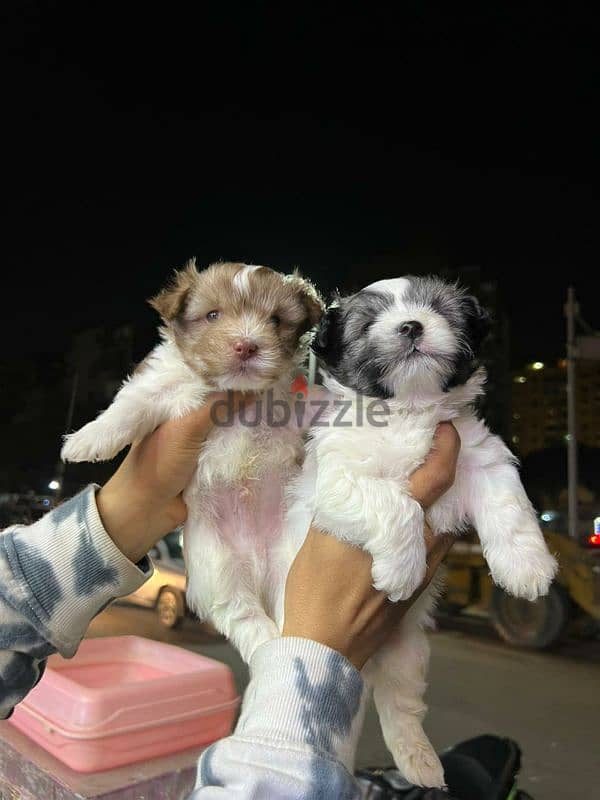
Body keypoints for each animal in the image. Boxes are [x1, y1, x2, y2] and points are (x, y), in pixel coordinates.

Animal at [63, 260, 324, 660]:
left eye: (276, 320)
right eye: (212, 315)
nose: (246, 344)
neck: (235, 391)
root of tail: (259, 566)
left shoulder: (294, 404)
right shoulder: (158, 388)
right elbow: (129, 407)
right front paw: (87, 439)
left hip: (291, 560)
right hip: (217, 565)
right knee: (241, 613)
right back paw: (267, 645)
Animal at [276, 276, 556, 788]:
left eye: (440, 310)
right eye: (368, 323)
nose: (411, 325)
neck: (409, 411)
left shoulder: (481, 458)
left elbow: (510, 507)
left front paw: (526, 567)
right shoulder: (339, 481)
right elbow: (396, 502)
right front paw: (403, 570)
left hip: (408, 656)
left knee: (400, 706)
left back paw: (420, 762)